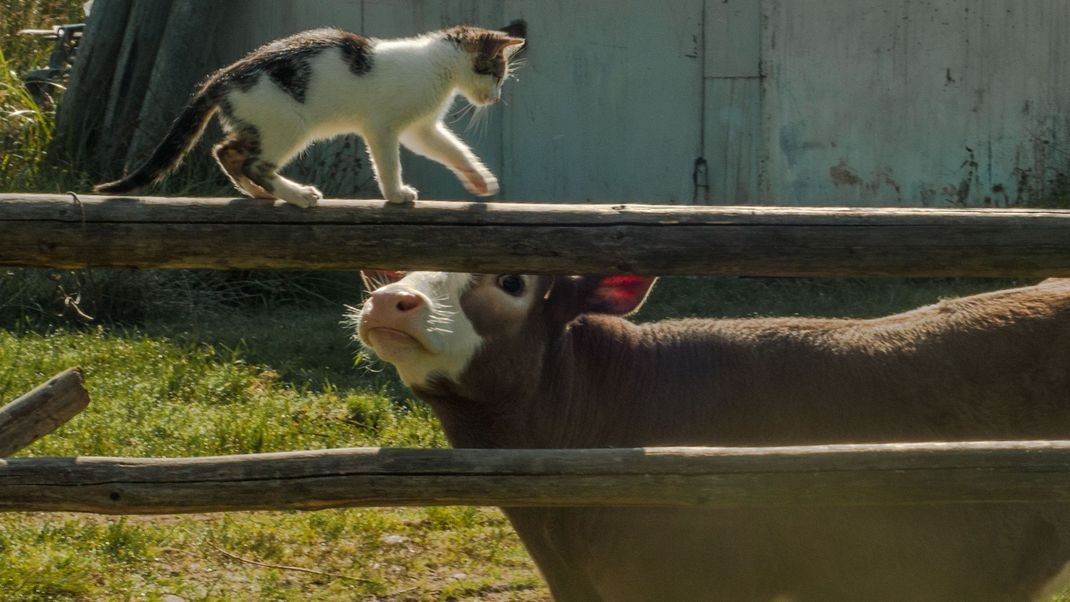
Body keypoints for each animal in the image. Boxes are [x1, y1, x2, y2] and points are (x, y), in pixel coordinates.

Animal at [94, 22, 528, 207]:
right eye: (496, 73)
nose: (495, 98)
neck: (437, 67)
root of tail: (224, 75)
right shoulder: (383, 126)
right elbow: (389, 163)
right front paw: (396, 193)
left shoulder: (420, 128)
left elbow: (452, 150)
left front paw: (479, 179)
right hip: (289, 125)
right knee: (251, 162)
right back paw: (296, 195)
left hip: (259, 124)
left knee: (226, 151)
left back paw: (260, 194)